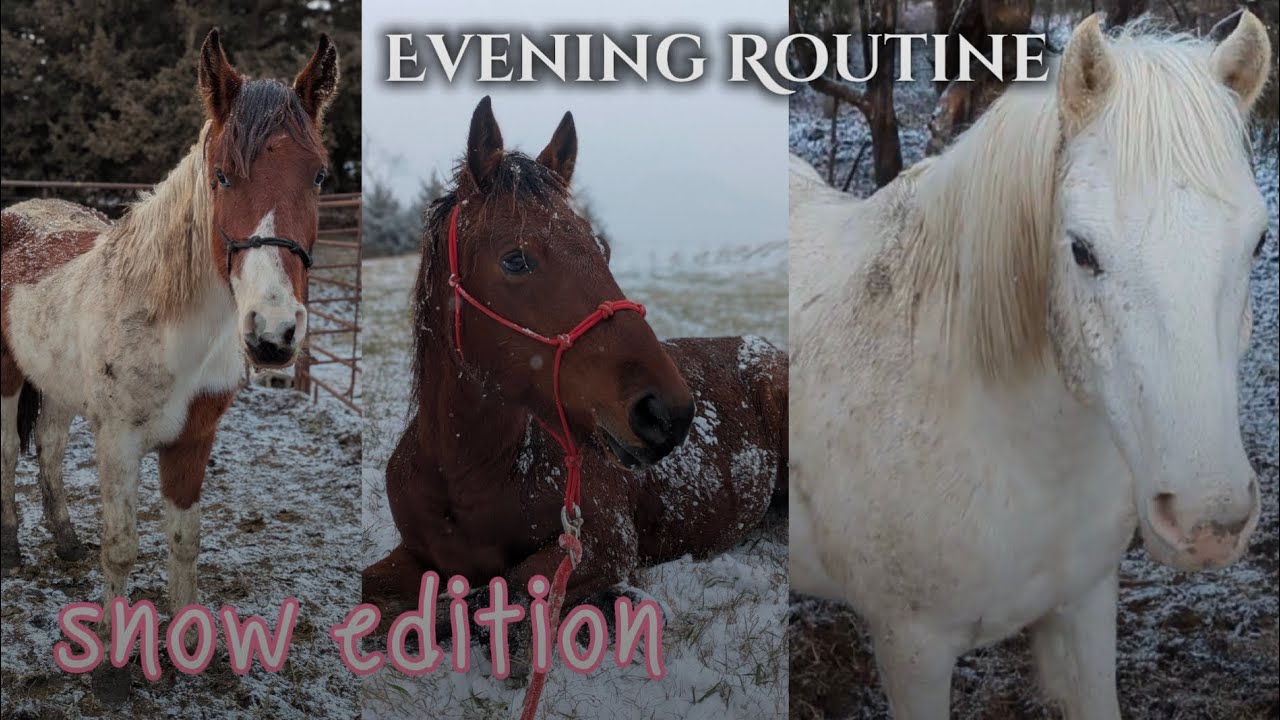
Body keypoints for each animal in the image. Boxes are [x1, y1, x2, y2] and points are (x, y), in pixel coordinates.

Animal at [0, 28, 339, 679]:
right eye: (222, 176)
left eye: (317, 176)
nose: (273, 332)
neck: (167, 323)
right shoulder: (119, 440)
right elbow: (122, 549)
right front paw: (109, 662)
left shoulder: (193, 441)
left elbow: (185, 542)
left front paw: (190, 648)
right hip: (5, 375)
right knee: (7, 450)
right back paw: (10, 544)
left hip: (55, 384)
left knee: (49, 449)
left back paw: (64, 539)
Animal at [362, 97, 787, 646]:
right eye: (516, 260)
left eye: (601, 247)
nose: (668, 413)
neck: (470, 470)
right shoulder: (416, 553)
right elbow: (378, 590)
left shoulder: (603, 542)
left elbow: (494, 595)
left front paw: (616, 598)